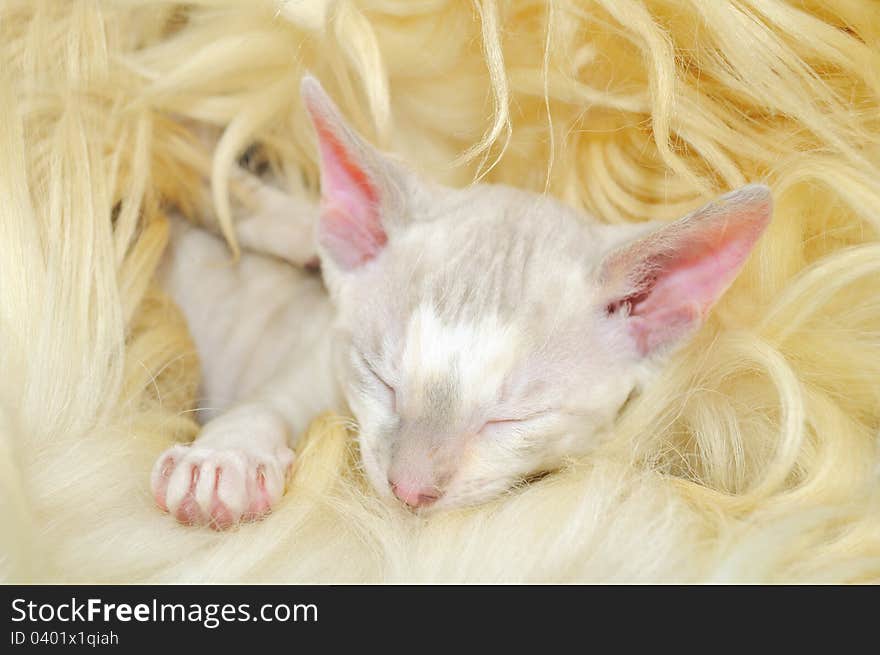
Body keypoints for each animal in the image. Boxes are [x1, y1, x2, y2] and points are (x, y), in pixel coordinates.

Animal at [151, 75, 768, 528]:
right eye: (381, 379)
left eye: (513, 419)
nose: (409, 490)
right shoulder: (319, 354)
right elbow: (268, 401)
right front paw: (223, 459)